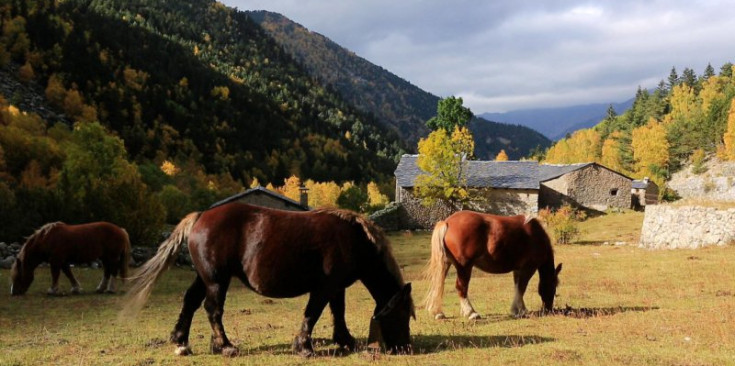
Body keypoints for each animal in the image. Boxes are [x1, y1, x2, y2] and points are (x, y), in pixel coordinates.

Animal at [123, 203, 416, 358]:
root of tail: (201, 216)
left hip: (204, 278)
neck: (353, 239)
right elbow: (313, 314)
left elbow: (338, 313)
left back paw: (181, 340)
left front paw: (345, 340)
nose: (405, 347)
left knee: (191, 302)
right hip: (217, 281)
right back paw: (226, 346)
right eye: (402, 315)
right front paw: (304, 347)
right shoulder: (324, 288)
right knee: (212, 310)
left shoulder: (336, 288)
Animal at [426, 212, 564, 320]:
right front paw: (522, 310)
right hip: (464, 267)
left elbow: (517, 288)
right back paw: (471, 313)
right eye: (553, 286)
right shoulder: (527, 268)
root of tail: (447, 222)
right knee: (461, 287)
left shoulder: (517, 270)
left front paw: (516, 310)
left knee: (438, 283)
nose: (548, 309)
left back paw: (438, 313)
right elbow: (521, 288)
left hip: (446, 263)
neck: (536, 235)